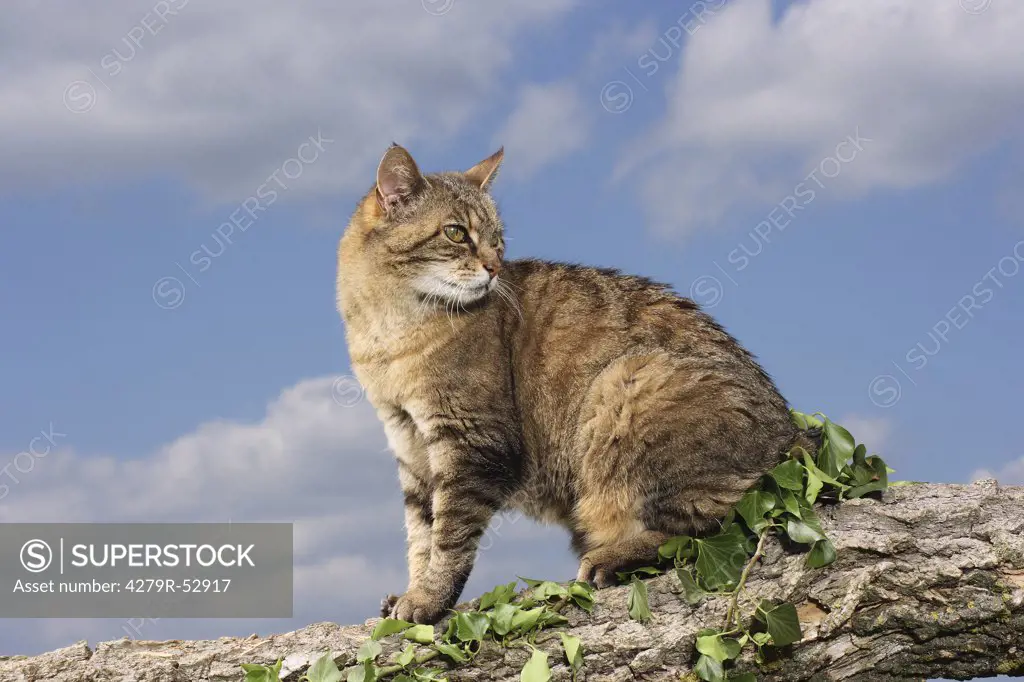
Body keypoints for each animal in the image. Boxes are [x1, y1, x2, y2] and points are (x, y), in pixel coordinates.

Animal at [331, 146, 802, 622]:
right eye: (456, 233)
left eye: (498, 240)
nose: (494, 266)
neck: (385, 333)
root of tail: (791, 433)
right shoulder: (409, 447)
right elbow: (420, 534)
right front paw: (412, 590)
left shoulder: (471, 443)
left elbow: (449, 537)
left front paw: (428, 599)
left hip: (628, 384)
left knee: (710, 526)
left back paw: (611, 558)